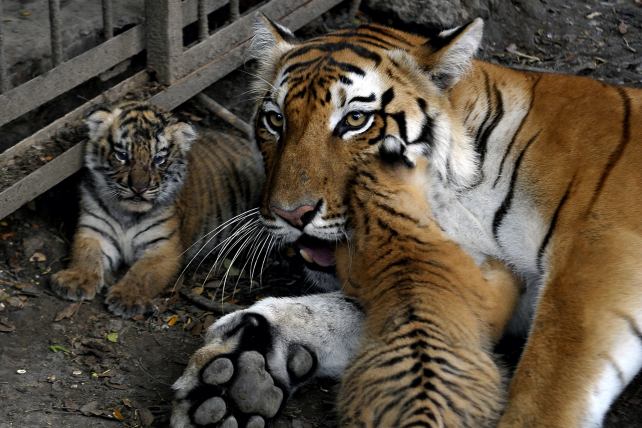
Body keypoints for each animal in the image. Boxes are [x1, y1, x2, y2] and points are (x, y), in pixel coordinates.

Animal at [50, 101, 264, 317]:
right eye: (122, 156)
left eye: (158, 159)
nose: (139, 188)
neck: (127, 214)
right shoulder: (95, 231)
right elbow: (86, 254)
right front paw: (75, 279)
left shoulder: (164, 246)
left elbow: (144, 273)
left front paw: (127, 298)